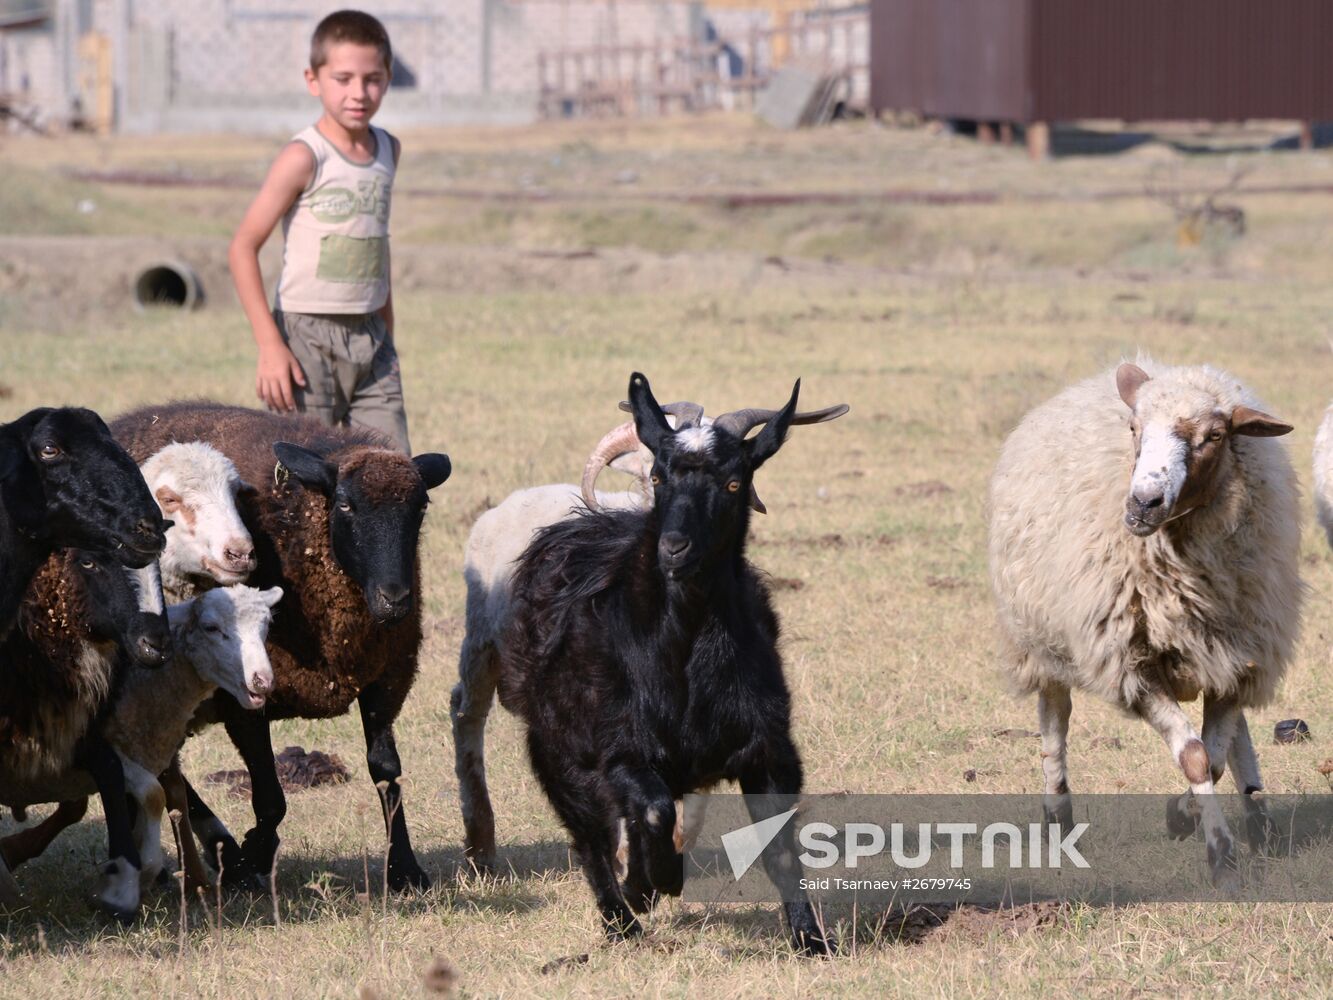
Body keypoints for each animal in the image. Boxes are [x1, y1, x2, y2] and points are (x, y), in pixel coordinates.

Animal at [1, 586, 278, 906]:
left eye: (266, 626)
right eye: (211, 628)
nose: (262, 682)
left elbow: (169, 797)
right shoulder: (96, 750)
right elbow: (152, 793)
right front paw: (135, 877)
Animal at [110, 402, 453, 890]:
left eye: (420, 506)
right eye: (344, 504)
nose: (395, 599)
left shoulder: (385, 679)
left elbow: (386, 773)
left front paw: (404, 868)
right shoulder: (242, 700)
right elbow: (271, 798)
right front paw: (253, 857)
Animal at [490, 373, 842, 954]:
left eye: (733, 483)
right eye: (658, 475)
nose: (673, 549)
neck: (683, 654)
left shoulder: (768, 748)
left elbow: (779, 847)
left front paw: (811, 939)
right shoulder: (618, 748)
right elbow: (649, 811)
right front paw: (652, 883)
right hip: (555, 749)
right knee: (590, 837)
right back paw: (623, 919)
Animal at [991, 357, 1301, 890]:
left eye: (1215, 436)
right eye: (1134, 427)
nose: (1142, 503)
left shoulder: (1234, 654)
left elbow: (1212, 760)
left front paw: (1189, 821)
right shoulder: (1133, 666)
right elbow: (1196, 758)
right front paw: (1219, 855)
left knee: (1235, 736)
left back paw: (1259, 822)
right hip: (1041, 640)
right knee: (1054, 719)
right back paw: (1057, 821)